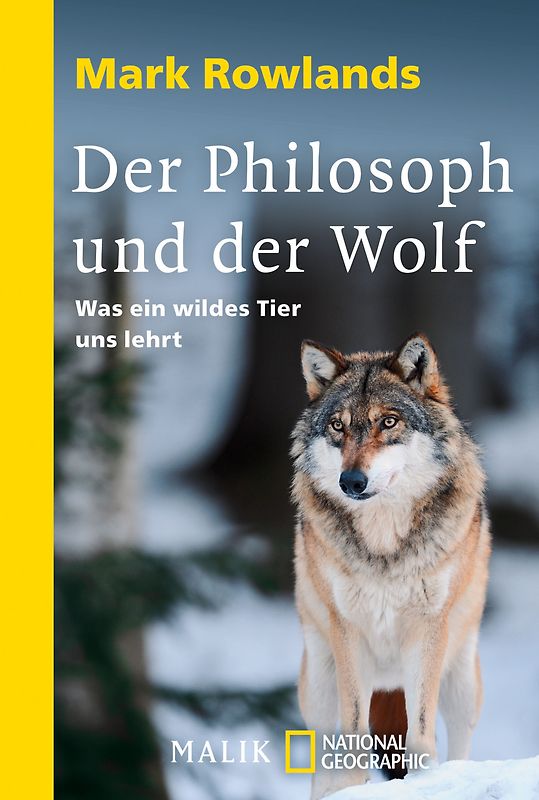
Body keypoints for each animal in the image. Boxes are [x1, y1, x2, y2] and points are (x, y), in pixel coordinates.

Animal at [291, 333, 490, 799]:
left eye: (388, 422)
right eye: (338, 426)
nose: (352, 481)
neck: (383, 544)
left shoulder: (429, 628)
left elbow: (421, 731)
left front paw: (424, 782)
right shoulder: (347, 631)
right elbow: (354, 731)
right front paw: (353, 785)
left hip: (462, 682)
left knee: (460, 739)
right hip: (319, 687)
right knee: (323, 752)